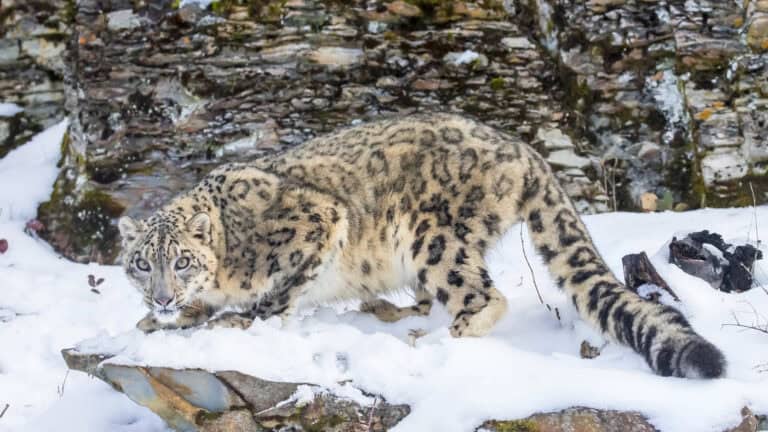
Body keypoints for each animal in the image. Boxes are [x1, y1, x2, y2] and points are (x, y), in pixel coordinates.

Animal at [118, 113, 725, 378]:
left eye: (182, 260)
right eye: (142, 264)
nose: (163, 296)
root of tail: (521, 149)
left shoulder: (317, 221)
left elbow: (281, 291)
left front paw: (243, 322)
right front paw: (159, 321)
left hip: (432, 237)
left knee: (482, 295)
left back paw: (432, 339)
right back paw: (399, 312)